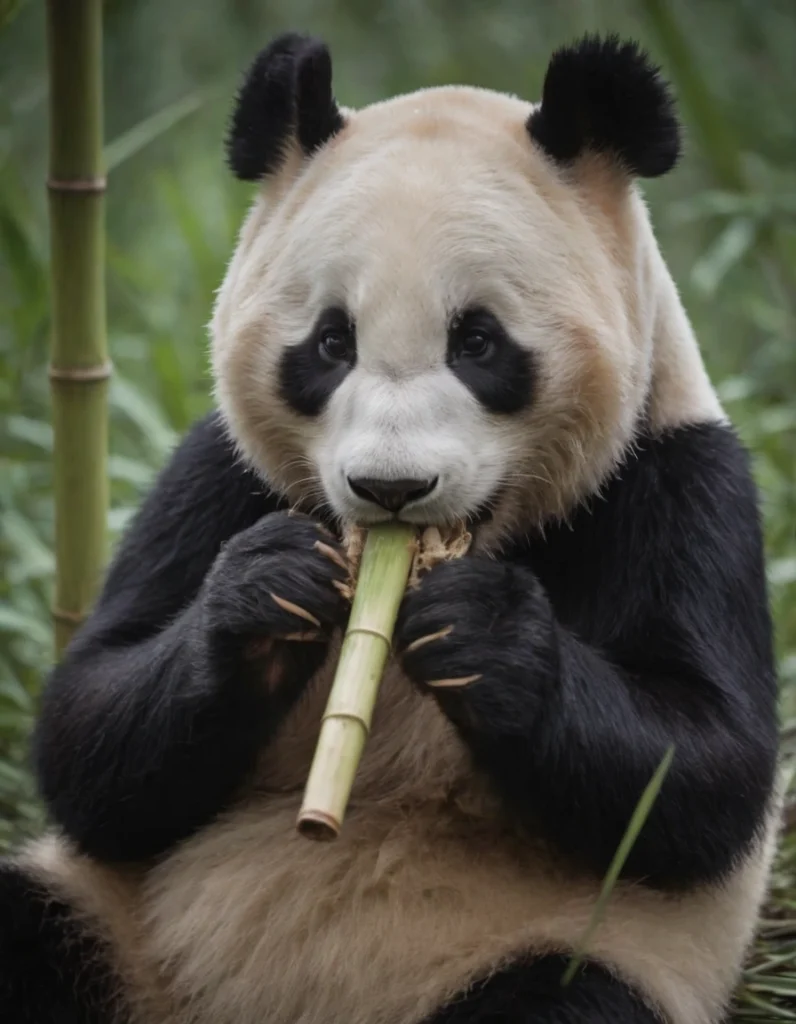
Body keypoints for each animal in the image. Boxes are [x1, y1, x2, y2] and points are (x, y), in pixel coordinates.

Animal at [0, 28, 782, 1024]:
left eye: (478, 341)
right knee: (31, 922)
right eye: (331, 342)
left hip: (553, 955)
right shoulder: (216, 476)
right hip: (118, 932)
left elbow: (704, 775)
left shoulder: (680, 487)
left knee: (564, 998)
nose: (391, 487)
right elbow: (91, 735)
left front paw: (482, 631)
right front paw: (268, 597)